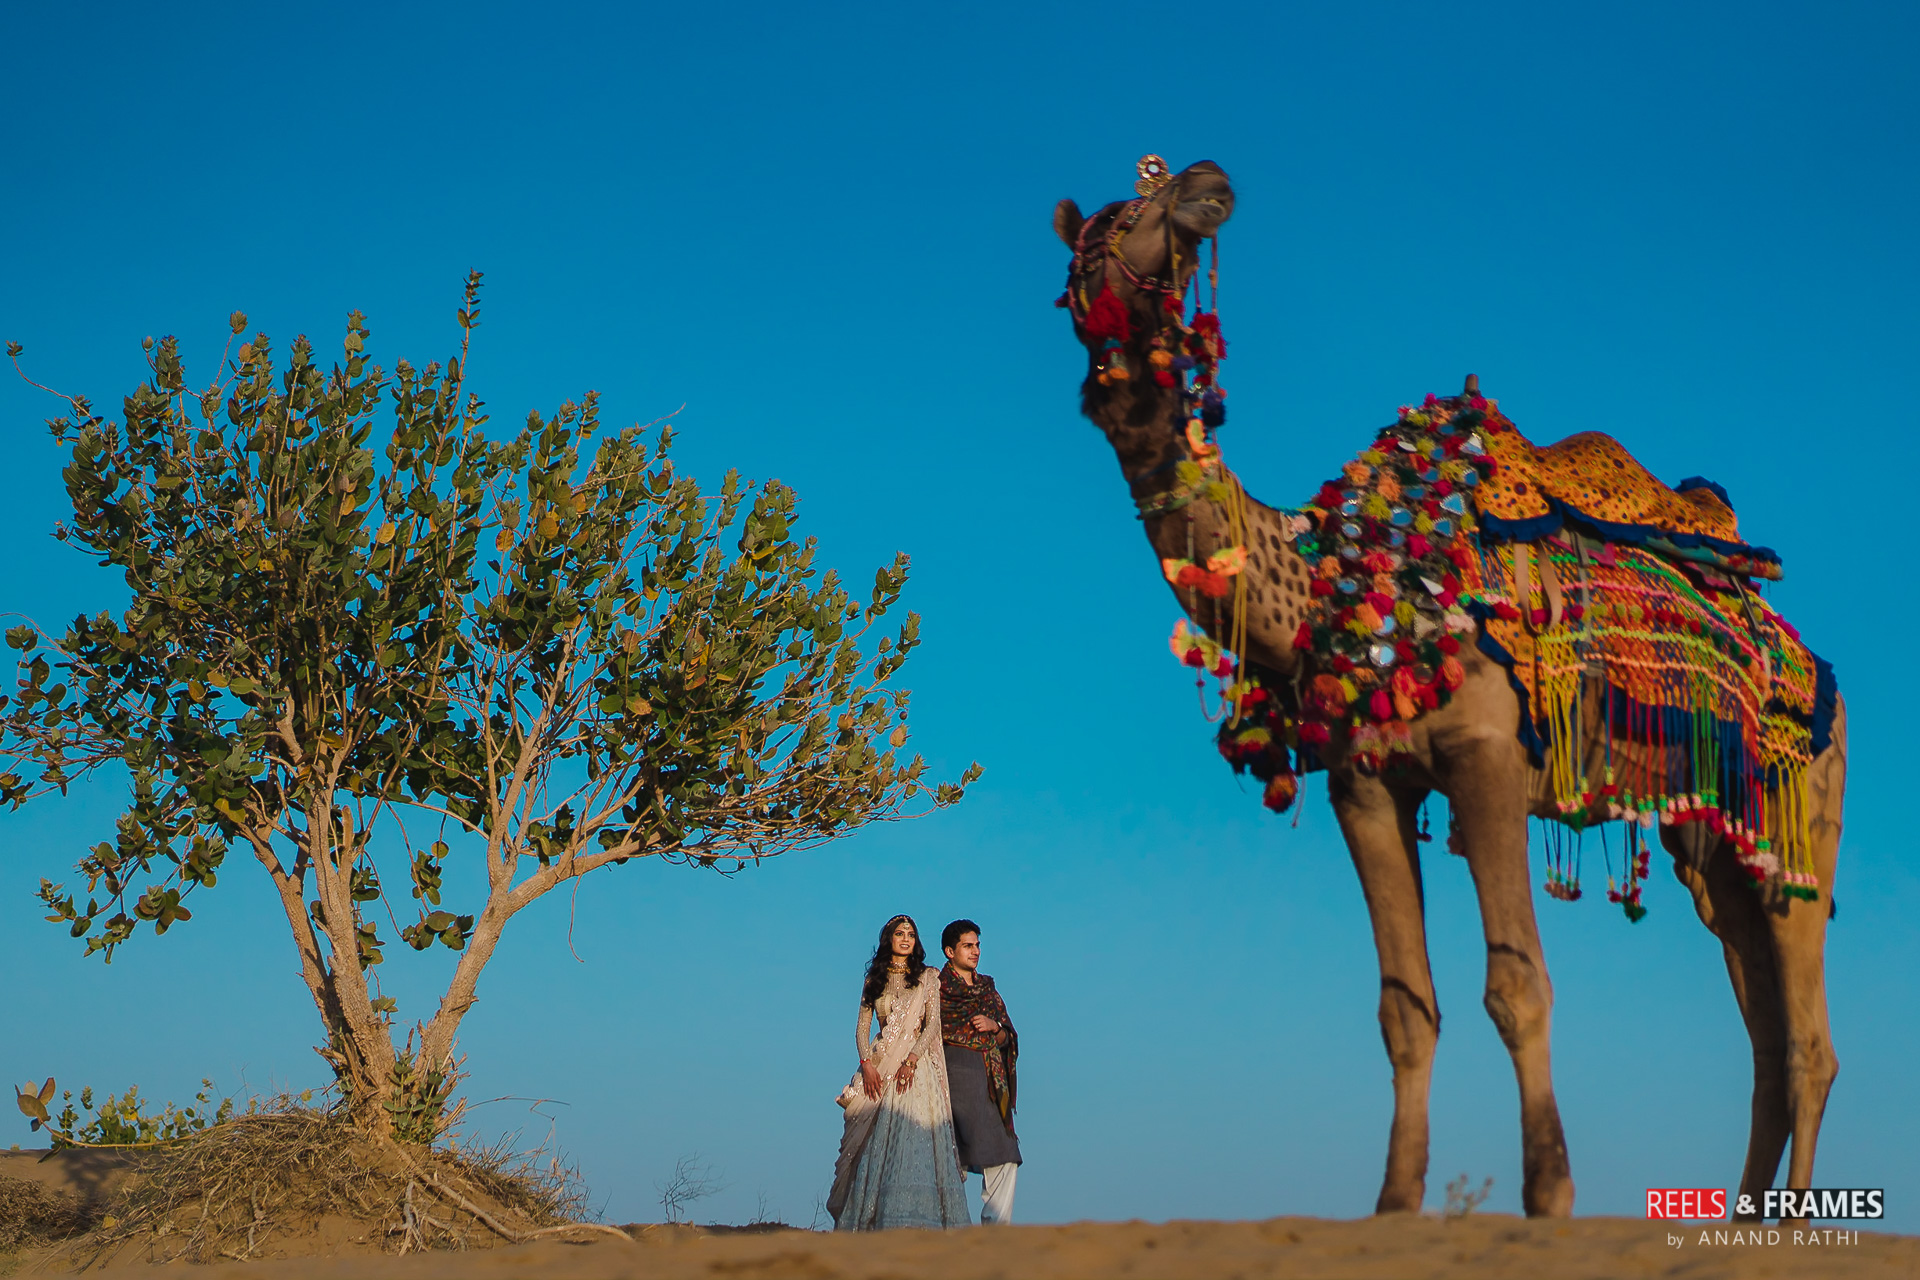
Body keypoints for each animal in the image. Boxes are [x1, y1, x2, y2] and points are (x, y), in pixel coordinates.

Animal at [1059, 157, 1850, 1220]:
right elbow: (1405, 1004)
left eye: (1146, 201)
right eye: (1118, 217)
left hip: (1799, 817)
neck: (1349, 583)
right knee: (1765, 1036)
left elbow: (1517, 985)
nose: (1204, 180)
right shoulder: (1364, 783)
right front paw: (1395, 1200)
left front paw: (1548, 1191)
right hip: (1716, 845)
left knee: (1808, 1044)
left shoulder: (1486, 758)